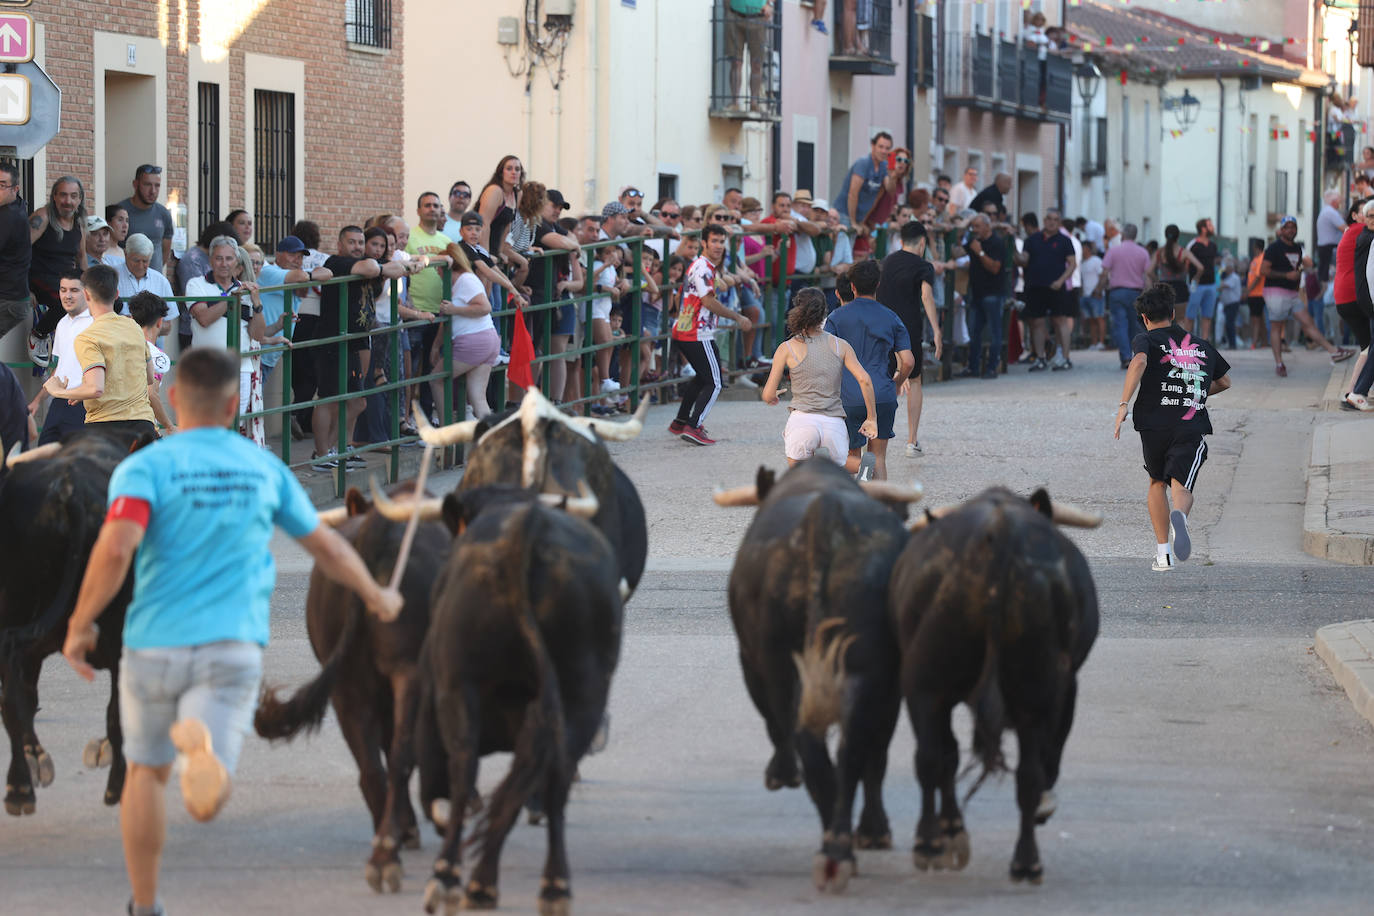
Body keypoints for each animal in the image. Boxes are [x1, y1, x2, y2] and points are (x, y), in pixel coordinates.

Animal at [890, 491, 1104, 884]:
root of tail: (1000, 535)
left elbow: (949, 753)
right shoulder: (1067, 688)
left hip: (927, 685)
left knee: (936, 756)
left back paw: (945, 844)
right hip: (1028, 690)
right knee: (1020, 771)